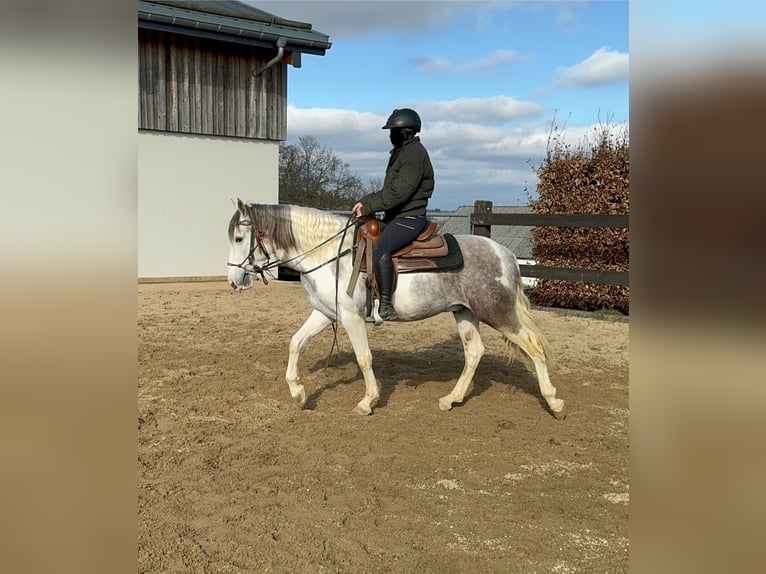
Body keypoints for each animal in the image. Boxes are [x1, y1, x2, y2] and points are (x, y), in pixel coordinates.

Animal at [225, 200, 568, 420]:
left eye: (240, 238)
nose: (233, 280)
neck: (330, 255)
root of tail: (505, 255)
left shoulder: (350, 318)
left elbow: (364, 358)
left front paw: (367, 401)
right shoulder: (325, 314)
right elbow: (296, 342)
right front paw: (298, 392)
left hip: (498, 313)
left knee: (534, 348)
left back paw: (554, 402)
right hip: (464, 312)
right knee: (474, 352)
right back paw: (451, 399)